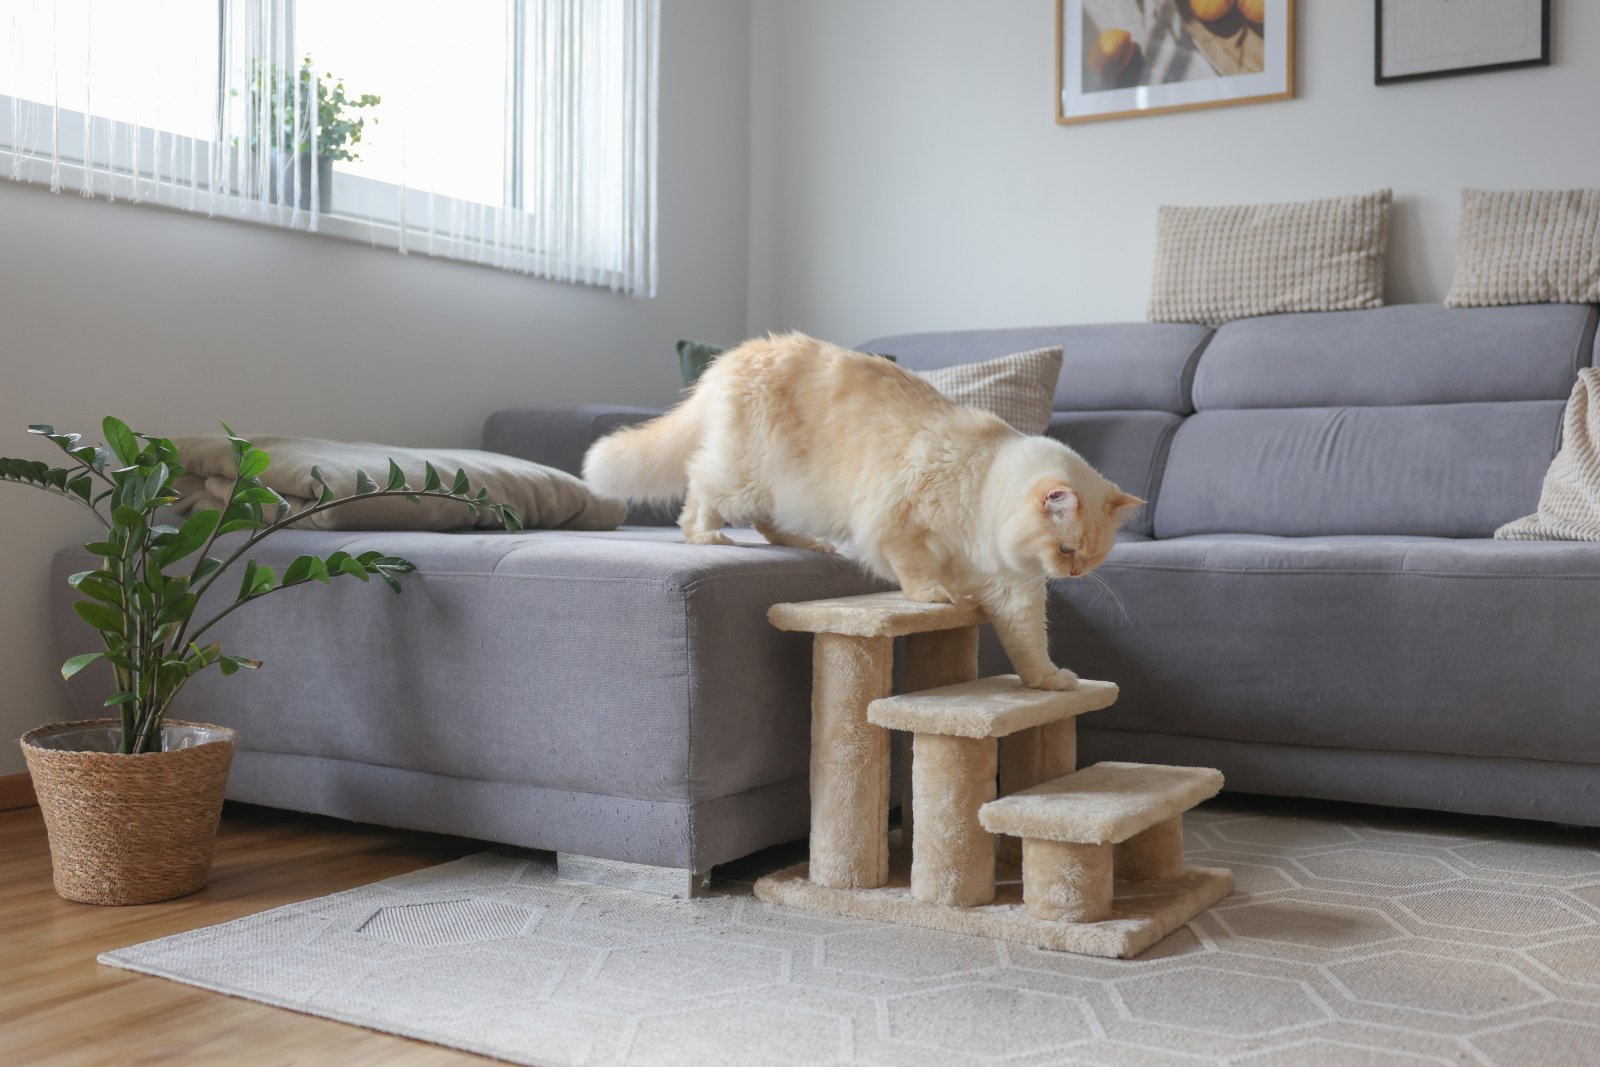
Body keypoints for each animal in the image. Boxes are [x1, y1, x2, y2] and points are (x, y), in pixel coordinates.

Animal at [583, 333, 1142, 690]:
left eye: (1090, 558)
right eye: (1066, 549)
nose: (1073, 574)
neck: (985, 484)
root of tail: (739, 354)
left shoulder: (1014, 590)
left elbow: (1030, 647)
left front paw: (1051, 683)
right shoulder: (898, 522)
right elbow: (917, 572)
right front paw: (935, 597)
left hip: (783, 494)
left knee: (766, 523)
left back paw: (809, 545)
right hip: (746, 477)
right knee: (699, 489)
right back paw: (706, 537)